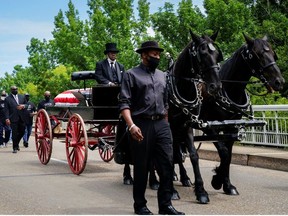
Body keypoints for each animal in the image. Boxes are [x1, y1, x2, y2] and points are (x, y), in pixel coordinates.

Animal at [166, 30, 223, 202]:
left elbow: (193, 155)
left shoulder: (186, 126)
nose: (216, 86)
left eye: (217, 55)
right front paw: (171, 191)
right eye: (201, 54)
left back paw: (184, 178)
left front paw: (201, 191)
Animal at [177, 33, 284, 201]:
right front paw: (217, 180)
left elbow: (229, 155)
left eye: (274, 54)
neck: (228, 89)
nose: (279, 81)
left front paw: (227, 184)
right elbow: (224, 153)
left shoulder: (232, 127)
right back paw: (183, 177)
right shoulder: (209, 127)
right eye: (258, 55)